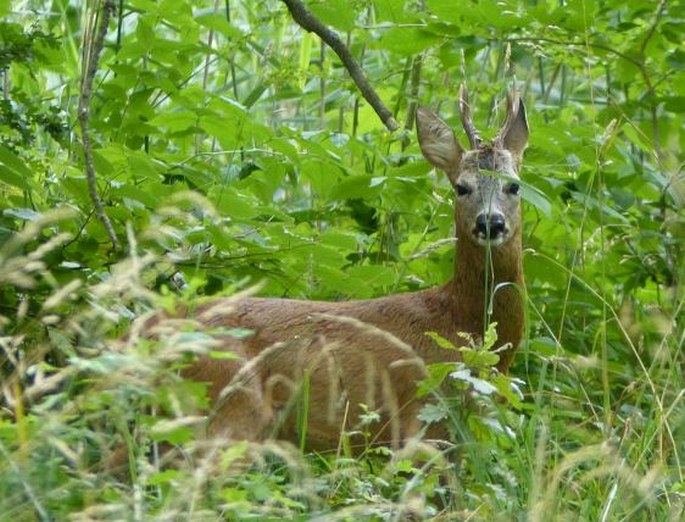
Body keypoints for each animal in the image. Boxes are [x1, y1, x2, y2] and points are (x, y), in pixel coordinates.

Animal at [174, 86, 528, 450]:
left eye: (514, 185)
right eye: (461, 187)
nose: (490, 223)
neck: (458, 319)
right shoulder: (426, 419)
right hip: (231, 406)